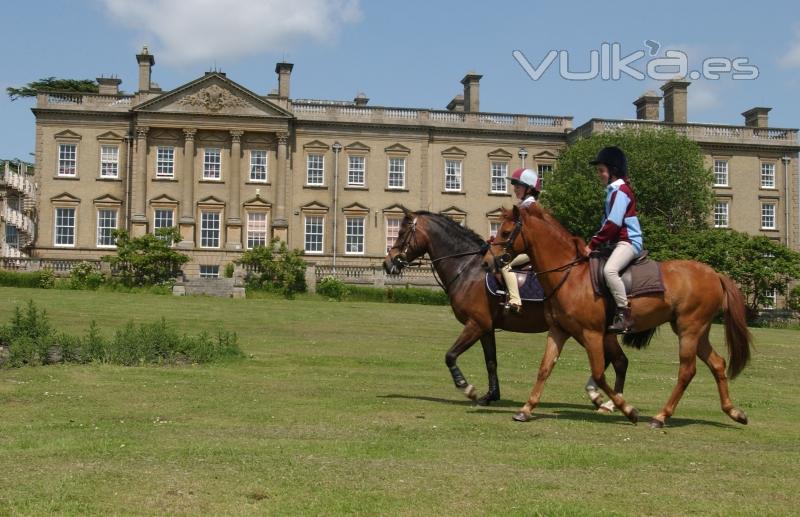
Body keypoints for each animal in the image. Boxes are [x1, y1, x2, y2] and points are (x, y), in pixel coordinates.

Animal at [384, 208, 628, 406]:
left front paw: (467, 387)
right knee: (617, 361)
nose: (388, 263)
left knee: (614, 361)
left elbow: (450, 355)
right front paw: (491, 395)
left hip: (585, 329)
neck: (468, 268)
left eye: (402, 233)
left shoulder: (476, 324)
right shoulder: (486, 328)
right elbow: (491, 362)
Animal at [484, 203, 752, 428]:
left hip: (689, 330)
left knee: (687, 371)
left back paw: (661, 416)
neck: (570, 275)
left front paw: (627, 409)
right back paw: (733, 412)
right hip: (697, 332)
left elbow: (599, 373)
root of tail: (714, 274)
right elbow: (545, 368)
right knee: (717, 363)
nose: (487, 263)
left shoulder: (592, 334)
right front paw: (526, 409)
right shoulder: (559, 331)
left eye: (505, 232)